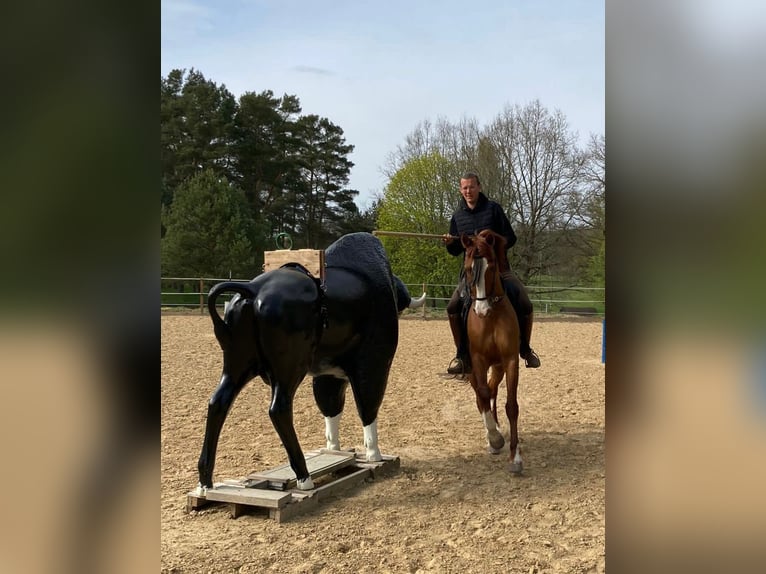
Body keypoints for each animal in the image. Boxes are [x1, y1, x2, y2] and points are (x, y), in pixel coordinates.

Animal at [460, 231, 524, 476]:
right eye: (468, 268)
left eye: (492, 266)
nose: (481, 310)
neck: (492, 317)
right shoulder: (477, 360)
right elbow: (483, 395)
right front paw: (495, 439)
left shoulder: (510, 360)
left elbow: (511, 406)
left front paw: (515, 457)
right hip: (472, 368)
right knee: (482, 394)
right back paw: (491, 436)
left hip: (497, 366)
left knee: (492, 388)